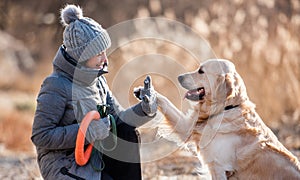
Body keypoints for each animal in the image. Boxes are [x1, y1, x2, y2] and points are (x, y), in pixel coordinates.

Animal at [156, 59, 300, 179]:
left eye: (201, 71)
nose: (179, 77)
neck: (226, 108)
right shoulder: (187, 128)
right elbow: (166, 102)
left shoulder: (219, 167)